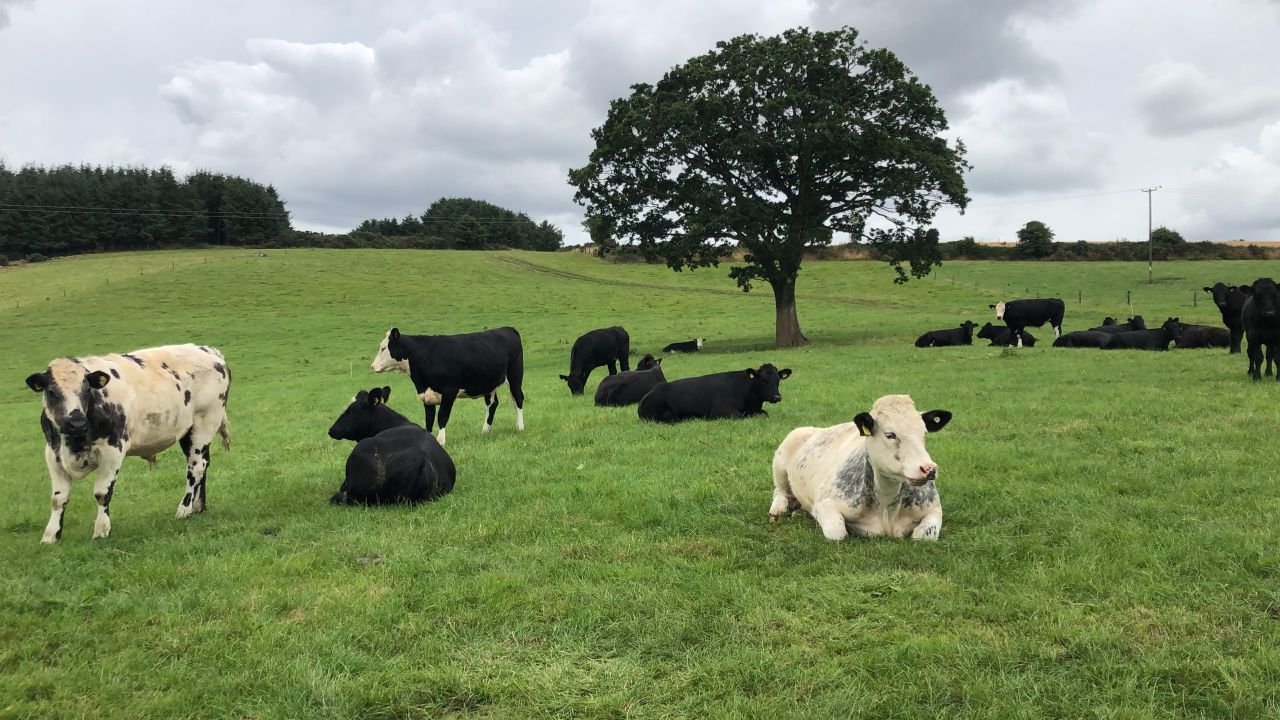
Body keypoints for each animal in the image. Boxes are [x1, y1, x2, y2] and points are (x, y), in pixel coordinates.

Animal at [24, 344, 231, 543]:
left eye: (86, 390)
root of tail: (208, 351)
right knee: (203, 464)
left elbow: (102, 492)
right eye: (52, 392)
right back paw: (198, 506)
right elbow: (58, 498)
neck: (74, 443)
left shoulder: (112, 451)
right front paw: (50, 535)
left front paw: (101, 529)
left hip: (205, 423)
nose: (76, 423)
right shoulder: (53, 454)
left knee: (196, 468)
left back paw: (184, 509)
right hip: (189, 432)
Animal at [371, 327, 525, 445]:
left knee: (517, 399)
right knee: (492, 404)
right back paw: (485, 431)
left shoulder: (449, 392)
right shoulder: (427, 395)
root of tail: (508, 328)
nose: (372, 366)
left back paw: (520, 427)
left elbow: (442, 417)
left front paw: (441, 441)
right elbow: (429, 420)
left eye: (383, 348)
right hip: (489, 383)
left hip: (515, 376)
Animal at [638, 364, 791, 423]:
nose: (777, 397)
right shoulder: (720, 411)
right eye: (763, 380)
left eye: (778, 380)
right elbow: (740, 417)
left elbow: (764, 413)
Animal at [769, 395, 952, 541]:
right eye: (890, 434)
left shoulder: (934, 509)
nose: (929, 469)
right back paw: (777, 510)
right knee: (780, 492)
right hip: (780, 460)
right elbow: (838, 532)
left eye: (924, 433)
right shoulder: (825, 502)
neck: (887, 507)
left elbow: (924, 535)